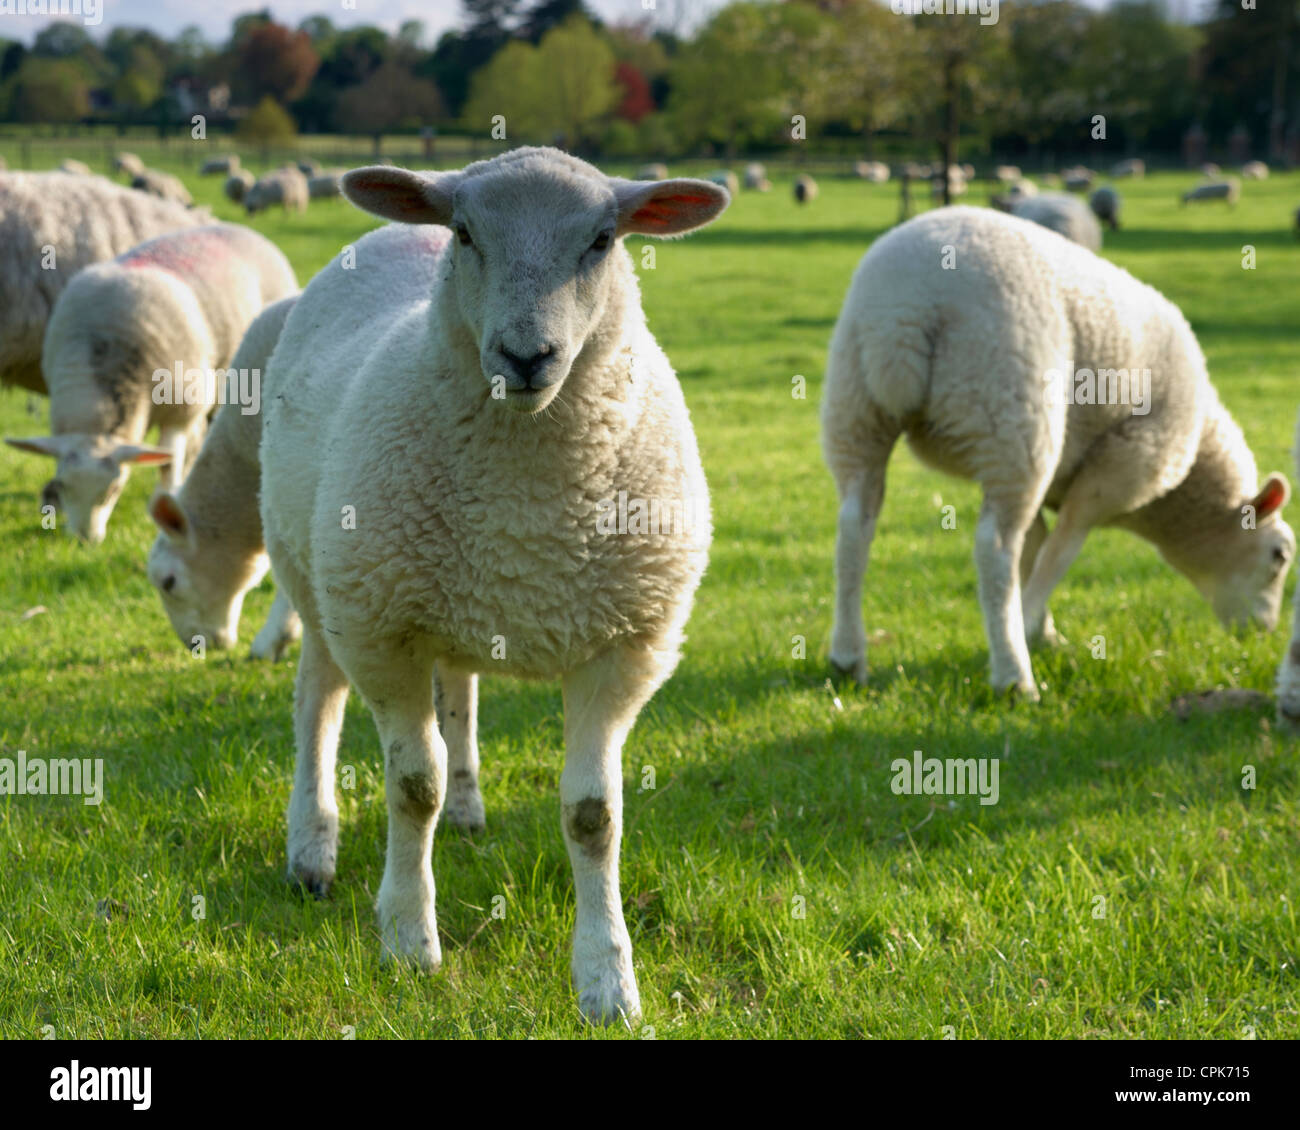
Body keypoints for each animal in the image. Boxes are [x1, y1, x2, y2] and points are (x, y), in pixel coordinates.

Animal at [5, 223, 297, 543]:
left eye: (113, 490)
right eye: (61, 485)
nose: (87, 540)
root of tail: (235, 227)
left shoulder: (181, 408)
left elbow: (168, 462)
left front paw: (167, 499)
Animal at [257, 147, 728, 1024]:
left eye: (603, 239)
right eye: (468, 233)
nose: (525, 356)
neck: (527, 512)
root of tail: (393, 231)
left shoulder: (625, 647)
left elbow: (593, 814)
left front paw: (608, 980)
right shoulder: (385, 632)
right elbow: (413, 786)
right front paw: (409, 942)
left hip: (455, 601)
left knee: (462, 691)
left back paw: (470, 809)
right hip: (318, 576)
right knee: (317, 705)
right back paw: (312, 847)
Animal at [822, 206, 1294, 698]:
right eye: (1279, 556)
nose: (1261, 633)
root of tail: (906, 310)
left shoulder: (1041, 476)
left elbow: (1035, 546)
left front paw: (1043, 630)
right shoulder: (1119, 469)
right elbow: (1062, 547)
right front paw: (1030, 624)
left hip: (859, 408)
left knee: (855, 524)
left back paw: (848, 658)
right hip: (1012, 412)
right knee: (994, 548)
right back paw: (1014, 677)